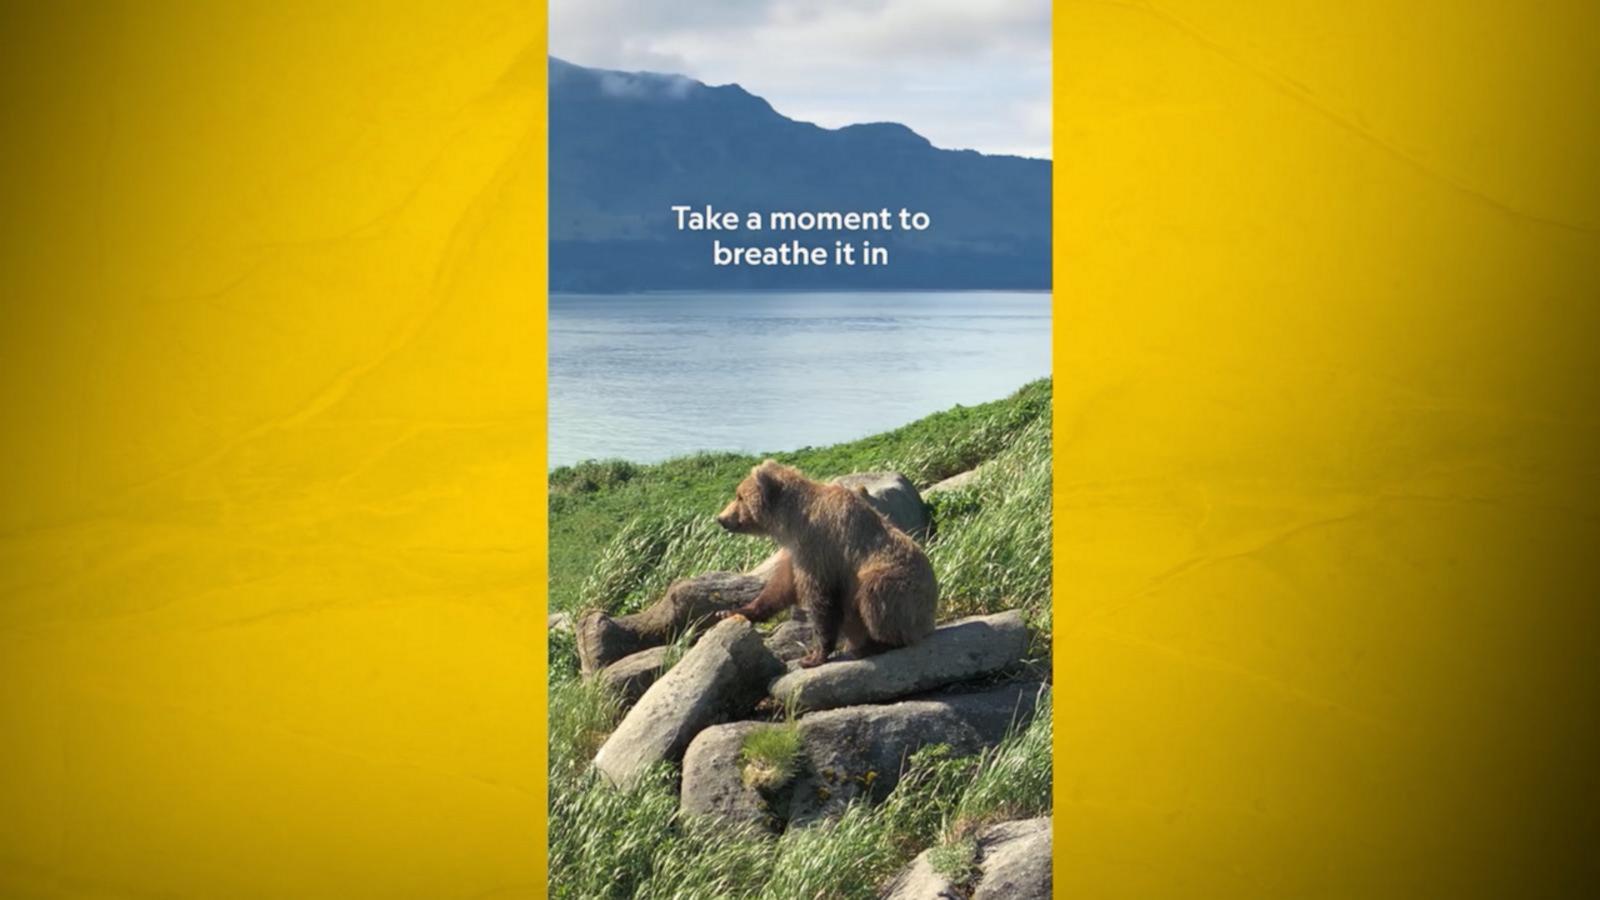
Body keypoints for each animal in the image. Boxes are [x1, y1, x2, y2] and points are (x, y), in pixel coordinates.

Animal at [714, 460, 937, 667]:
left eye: (739, 497)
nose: (721, 518)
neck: (790, 521)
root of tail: (929, 619)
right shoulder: (795, 551)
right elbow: (780, 587)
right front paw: (729, 611)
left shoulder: (819, 546)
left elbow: (820, 598)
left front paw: (813, 656)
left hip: (902, 589)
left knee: (874, 594)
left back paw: (875, 644)